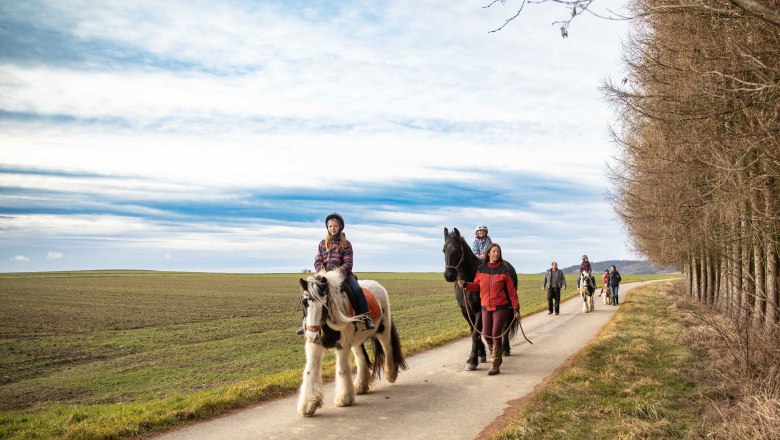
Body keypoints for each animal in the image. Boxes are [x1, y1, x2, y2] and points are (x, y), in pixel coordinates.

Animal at [298, 268, 408, 416]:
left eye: (324, 304)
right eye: (305, 302)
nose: (312, 335)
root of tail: (377, 285)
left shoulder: (342, 346)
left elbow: (341, 370)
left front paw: (343, 399)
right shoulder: (314, 346)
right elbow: (310, 371)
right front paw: (308, 405)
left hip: (383, 330)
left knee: (388, 348)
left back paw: (390, 374)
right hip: (357, 341)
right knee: (361, 358)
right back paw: (361, 385)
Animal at [438, 227, 516, 372]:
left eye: (456, 250)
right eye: (443, 250)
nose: (449, 276)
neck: (470, 279)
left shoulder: (480, 310)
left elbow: (475, 333)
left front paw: (472, 360)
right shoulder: (465, 311)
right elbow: (473, 331)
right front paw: (481, 355)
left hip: (509, 309)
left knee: (505, 328)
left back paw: (505, 349)